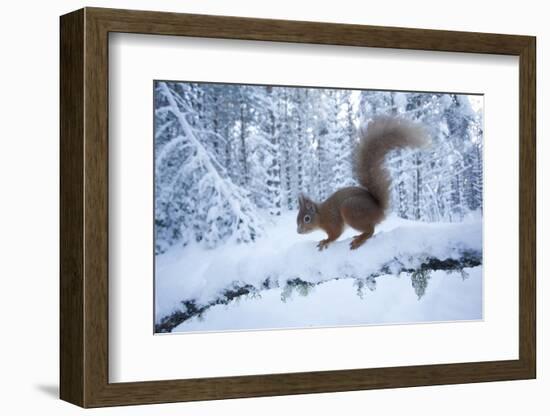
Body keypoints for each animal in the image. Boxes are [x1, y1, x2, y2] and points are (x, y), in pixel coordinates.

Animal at [298, 117, 432, 252]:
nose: (298, 231)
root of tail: (379, 210)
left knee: (371, 230)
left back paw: (359, 240)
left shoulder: (332, 222)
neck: (321, 215)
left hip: (351, 210)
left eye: (306, 218)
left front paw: (326, 241)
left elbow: (335, 234)